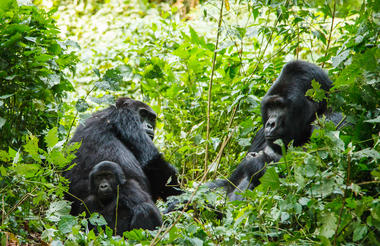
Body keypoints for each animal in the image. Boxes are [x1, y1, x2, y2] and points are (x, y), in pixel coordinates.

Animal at [214, 60, 344, 201]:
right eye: (271, 106)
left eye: (281, 106)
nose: (270, 124)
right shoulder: (261, 134)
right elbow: (227, 183)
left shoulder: (333, 120)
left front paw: (257, 162)